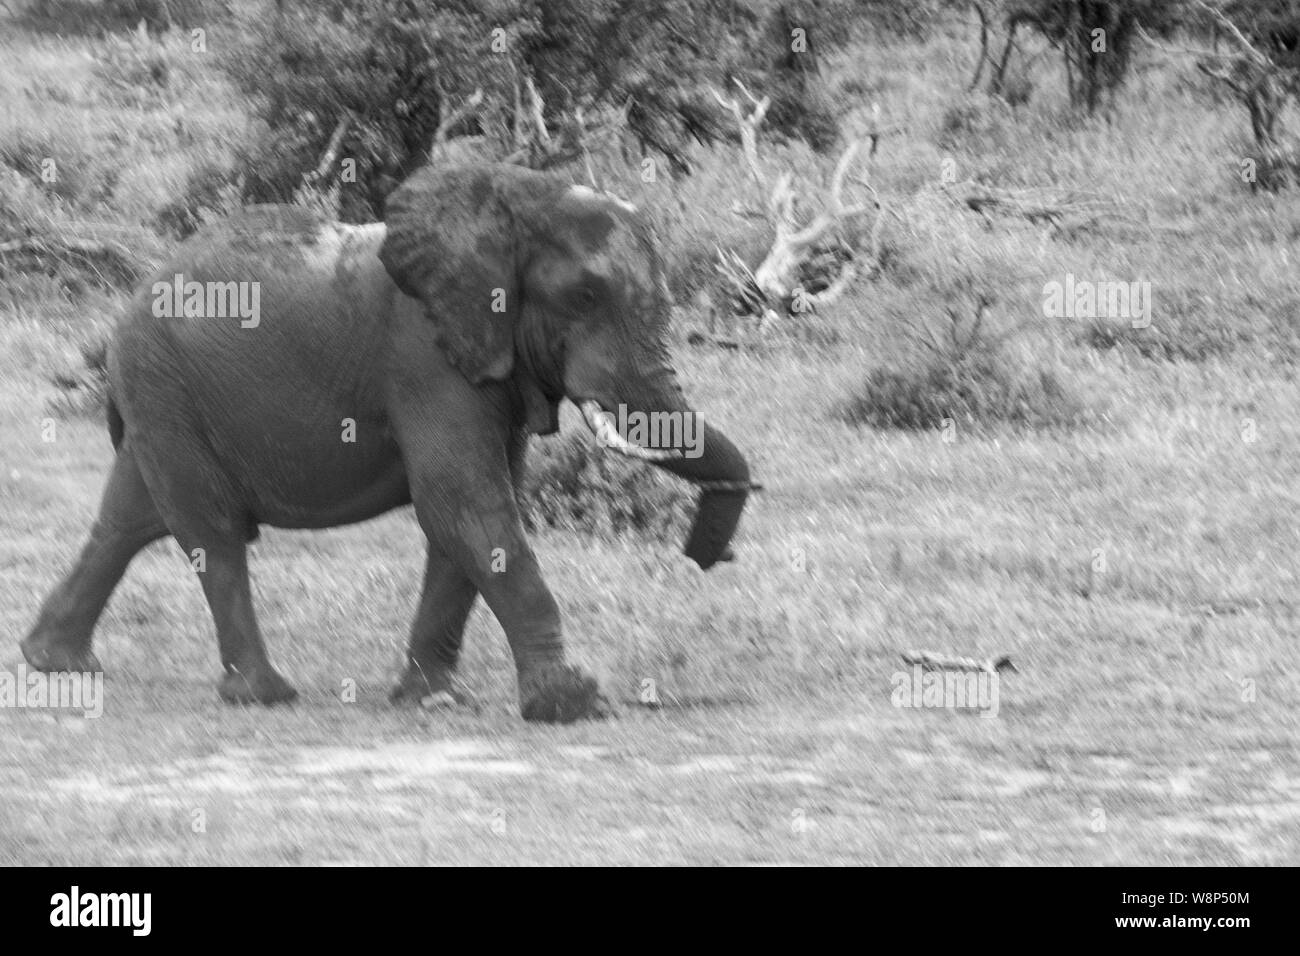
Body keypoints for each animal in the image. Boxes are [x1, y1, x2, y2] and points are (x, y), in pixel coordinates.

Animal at [17, 160, 754, 723]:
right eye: (585, 297)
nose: (704, 555)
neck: (507, 198)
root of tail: (132, 300)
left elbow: (471, 514)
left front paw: (430, 699)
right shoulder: (423, 356)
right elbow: (464, 501)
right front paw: (572, 705)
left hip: (161, 395)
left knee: (128, 520)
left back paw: (55, 663)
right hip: (163, 383)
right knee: (213, 533)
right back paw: (263, 695)